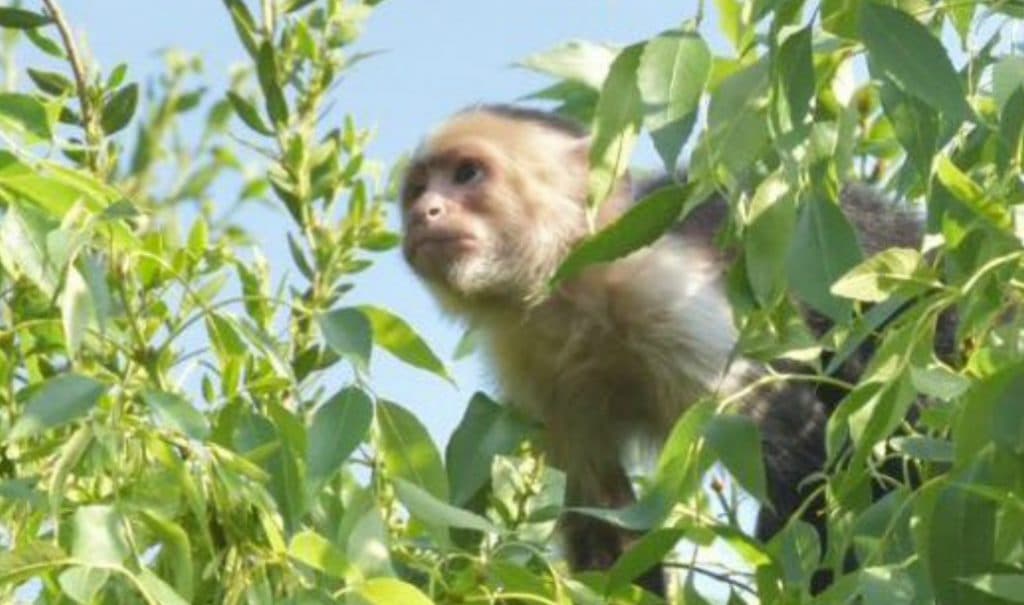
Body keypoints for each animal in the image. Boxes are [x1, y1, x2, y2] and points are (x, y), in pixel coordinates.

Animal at [399, 104, 927, 596]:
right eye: (417, 190)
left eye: (467, 174)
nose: (424, 213)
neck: (571, 296)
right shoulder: (531, 365)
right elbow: (602, 516)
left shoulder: (661, 289)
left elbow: (801, 454)